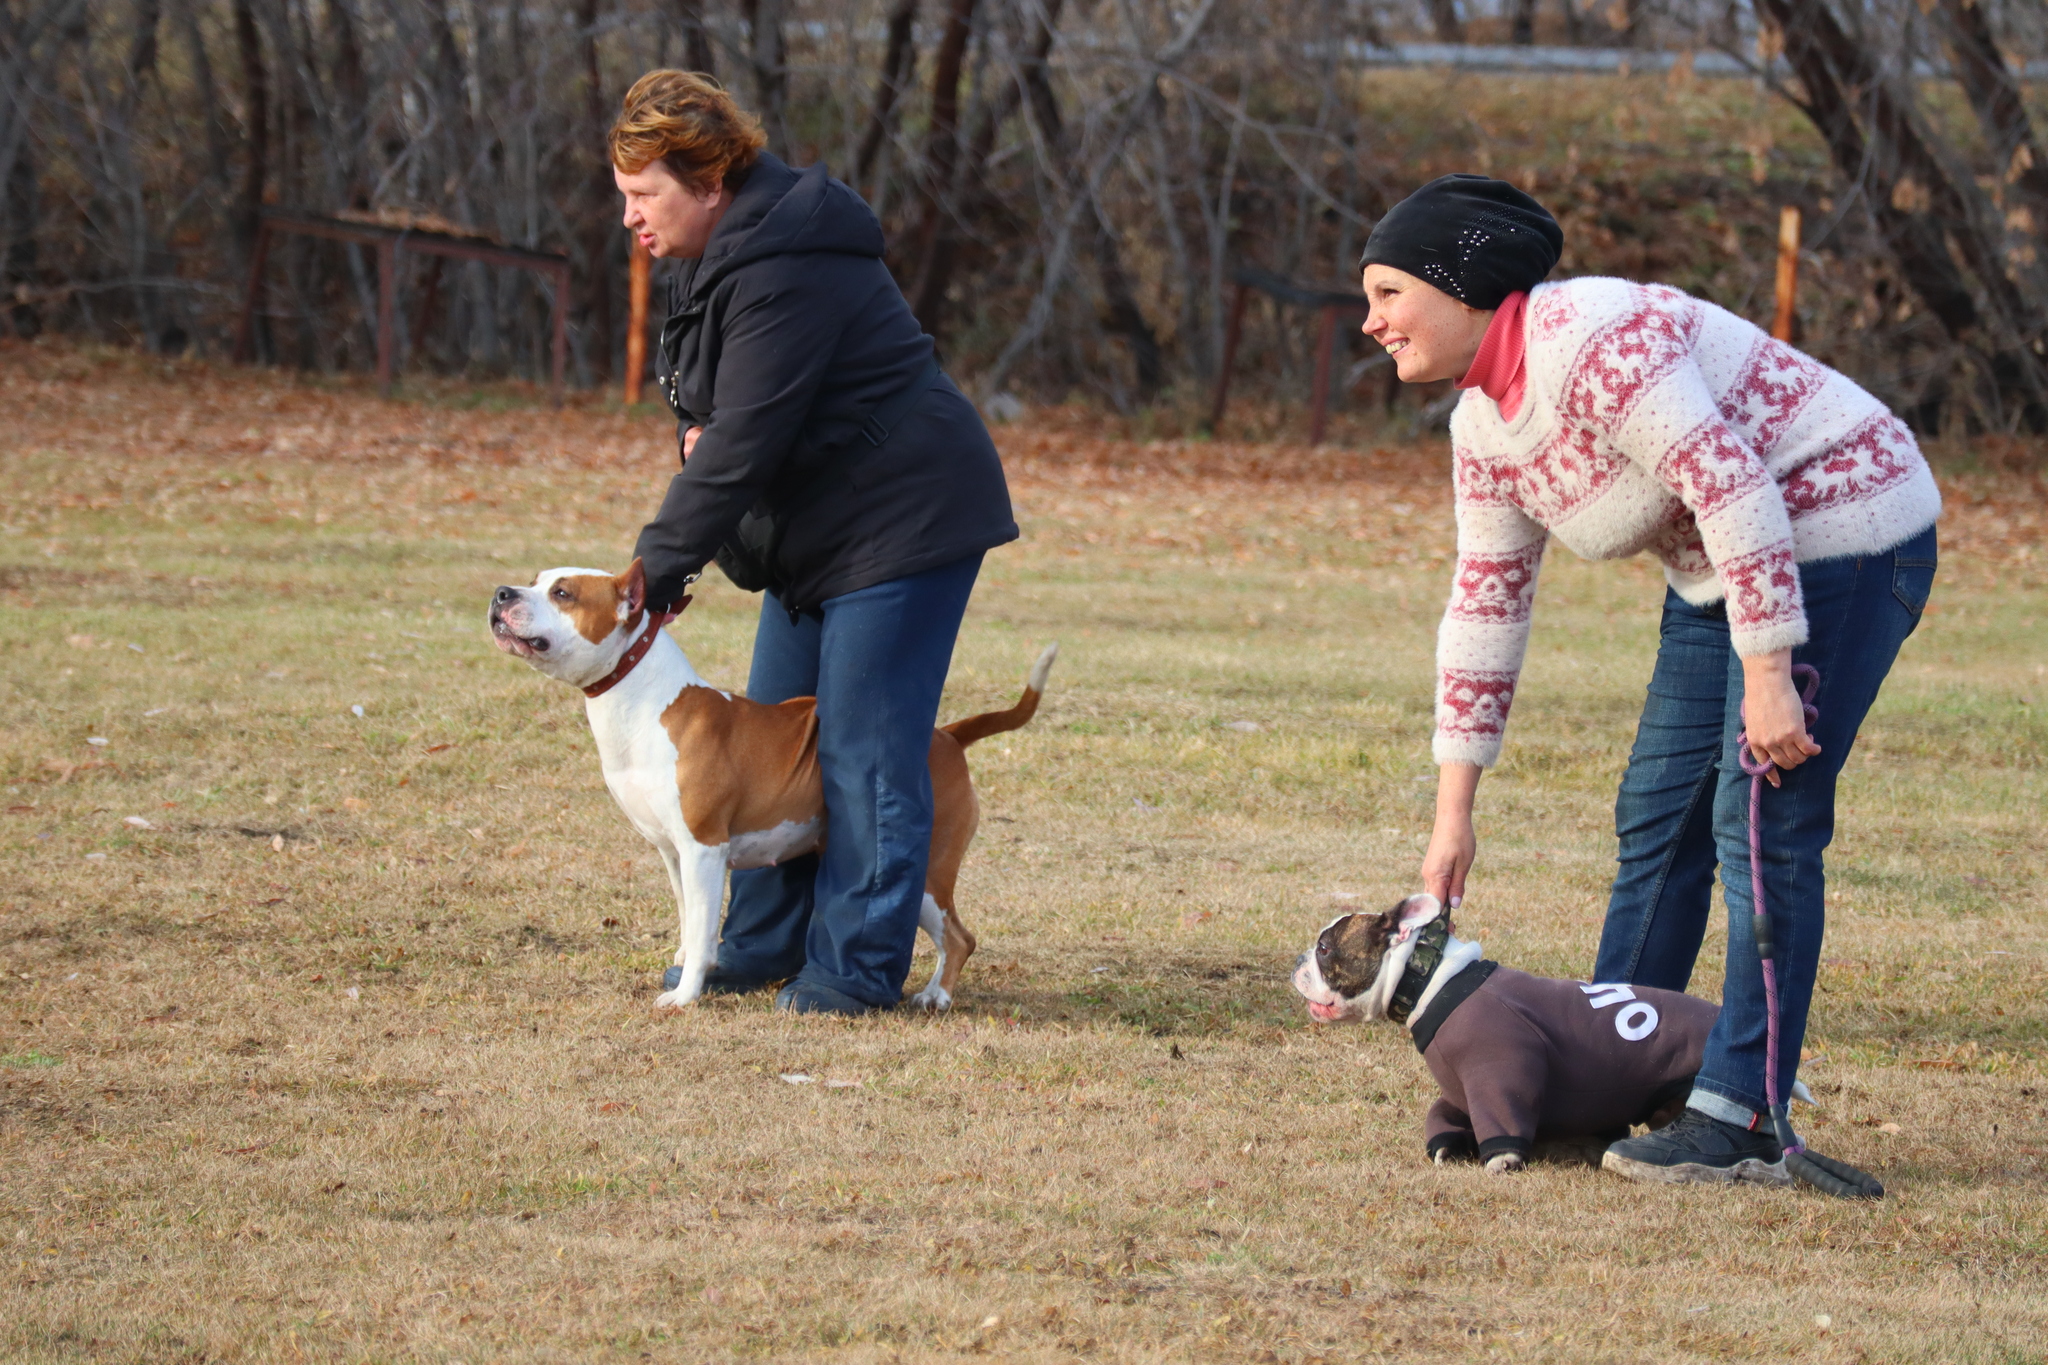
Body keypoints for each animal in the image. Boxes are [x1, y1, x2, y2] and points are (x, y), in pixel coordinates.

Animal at [483, 556, 1056, 1015]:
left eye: (563, 593)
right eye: (534, 581)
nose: (502, 593)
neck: (645, 701)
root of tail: (949, 736)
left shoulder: (704, 849)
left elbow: (702, 927)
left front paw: (684, 996)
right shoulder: (673, 852)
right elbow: (689, 920)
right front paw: (689, 966)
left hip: (930, 873)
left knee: (959, 937)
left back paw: (936, 995)